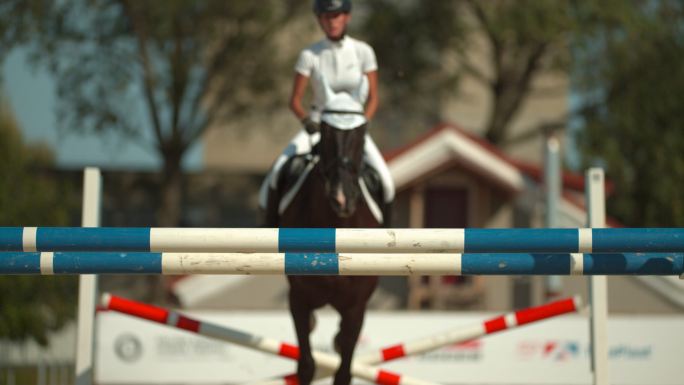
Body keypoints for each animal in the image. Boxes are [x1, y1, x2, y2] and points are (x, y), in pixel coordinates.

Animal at [264, 109, 388, 384]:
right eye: (325, 132)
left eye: (362, 135)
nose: (342, 198)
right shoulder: (298, 299)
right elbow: (306, 365)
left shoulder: (355, 306)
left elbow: (344, 369)